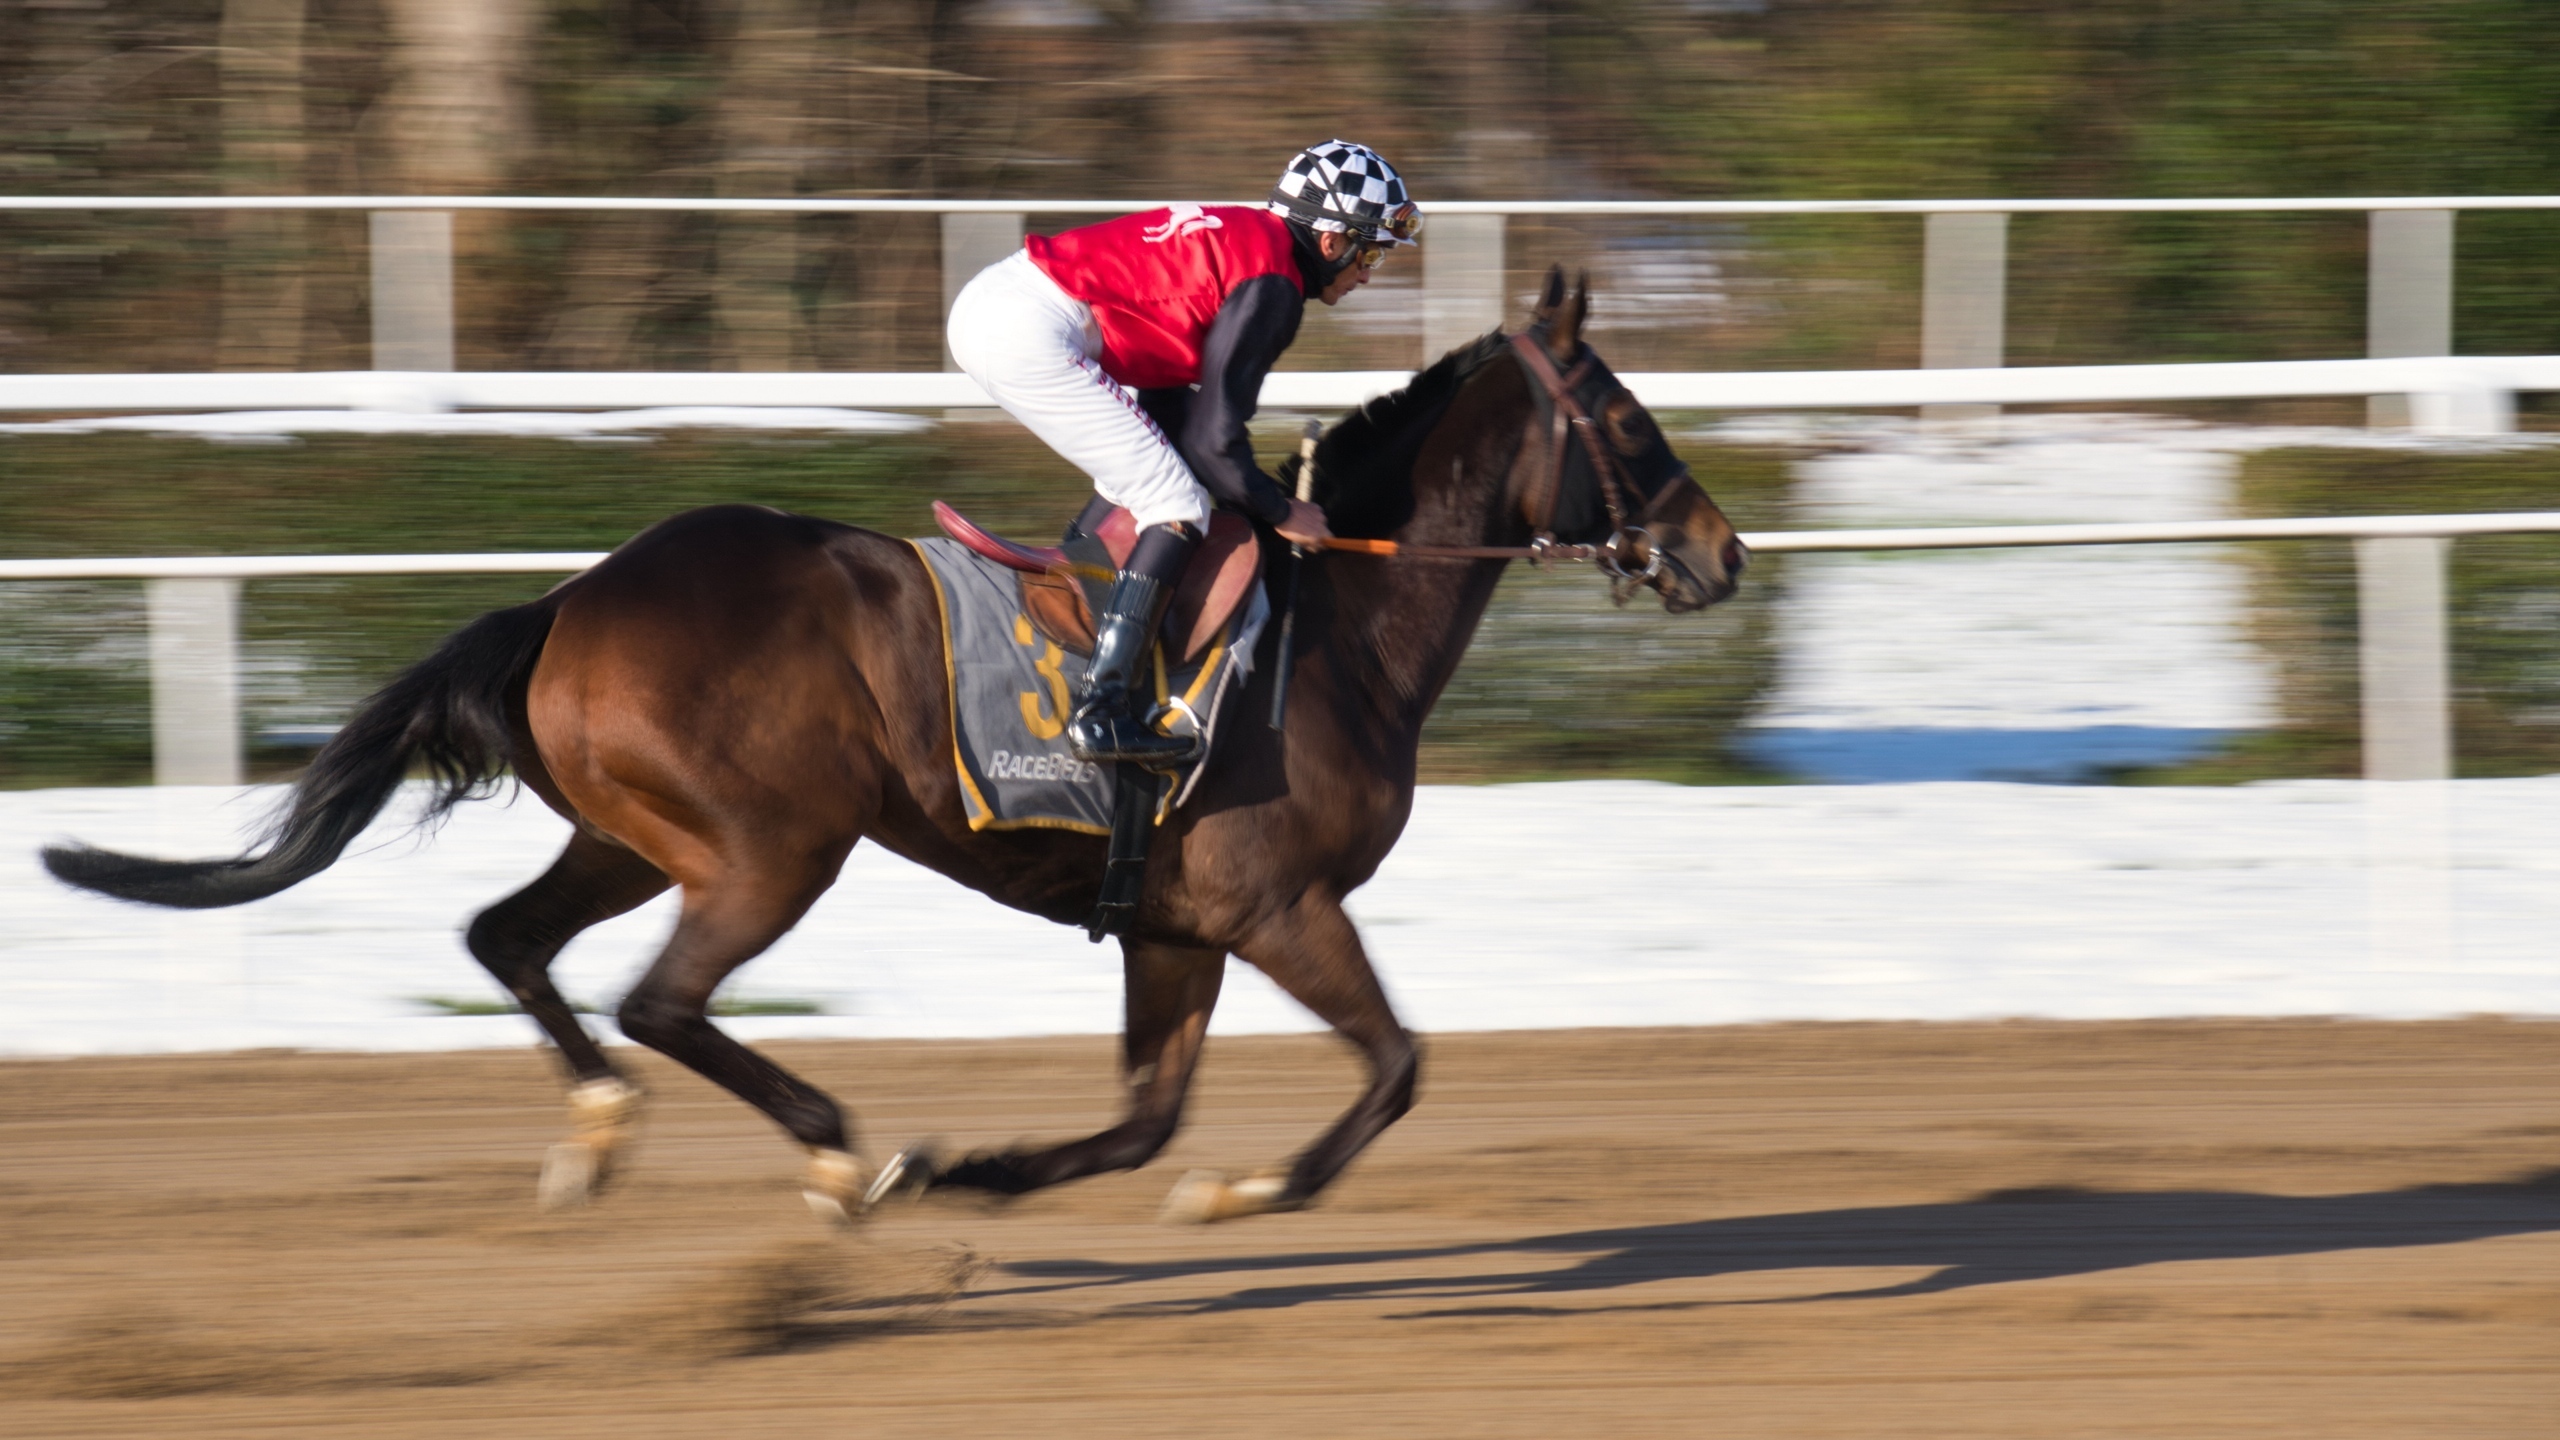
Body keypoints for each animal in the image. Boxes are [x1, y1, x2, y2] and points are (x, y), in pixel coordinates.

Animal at [40, 269, 1751, 1219]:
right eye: (1624, 414)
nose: (1719, 551)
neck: (1340, 623)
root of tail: (575, 597)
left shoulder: (1180, 922)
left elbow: (1145, 1120)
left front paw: (989, 1169)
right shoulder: (1280, 905)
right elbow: (1394, 1067)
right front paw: (1250, 1188)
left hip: (632, 830)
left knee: (508, 938)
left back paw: (604, 1130)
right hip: (773, 845)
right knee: (661, 1000)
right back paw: (834, 1157)